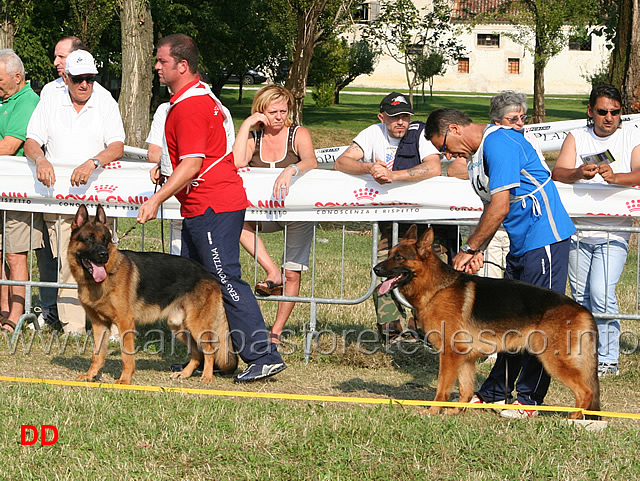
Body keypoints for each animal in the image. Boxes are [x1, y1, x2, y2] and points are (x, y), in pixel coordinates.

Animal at [68, 204, 238, 384]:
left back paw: (206, 377)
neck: (103, 278)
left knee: (209, 350)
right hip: (179, 326)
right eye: (89, 239)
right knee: (197, 353)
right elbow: (97, 353)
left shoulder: (125, 323)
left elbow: (126, 355)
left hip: (197, 326)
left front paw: (125, 380)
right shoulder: (99, 324)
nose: (103, 255)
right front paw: (90, 375)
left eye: (105, 240)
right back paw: (184, 373)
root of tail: (209, 275)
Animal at [372, 225, 596, 416]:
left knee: (585, 391)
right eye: (390, 254)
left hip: (554, 360)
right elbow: (465, 389)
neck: (436, 288)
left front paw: (433, 412)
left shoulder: (449, 354)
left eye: (399, 257)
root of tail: (582, 309)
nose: (375, 269)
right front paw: (456, 411)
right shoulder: (464, 357)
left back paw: (574, 418)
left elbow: (442, 388)